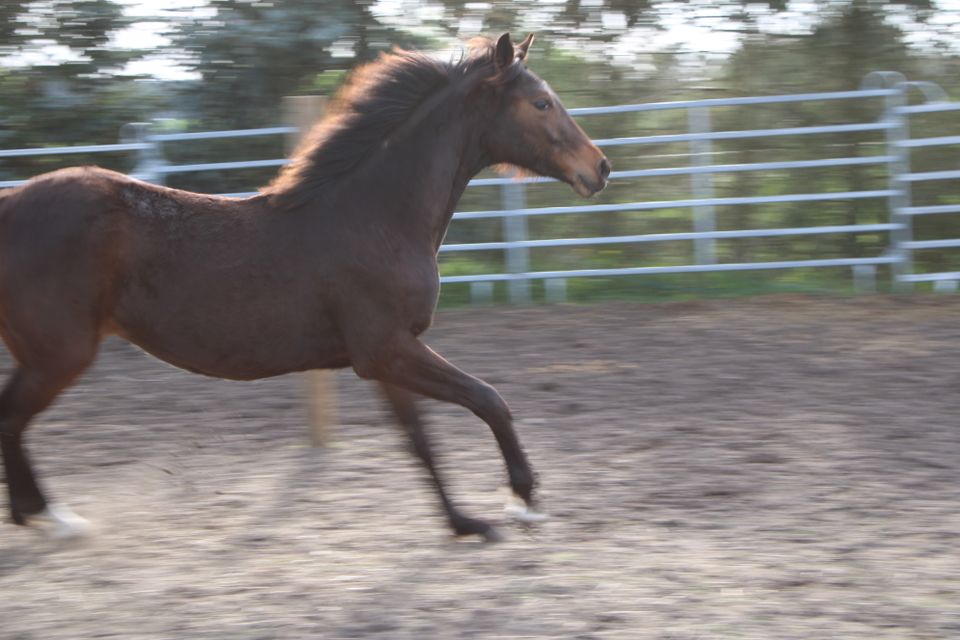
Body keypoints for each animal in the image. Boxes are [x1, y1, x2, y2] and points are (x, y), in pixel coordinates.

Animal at [0, 33, 612, 540]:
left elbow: (420, 441)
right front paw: (522, 502)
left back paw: (35, 515)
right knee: (11, 416)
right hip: (59, 355)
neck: (376, 215)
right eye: (541, 103)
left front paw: (464, 523)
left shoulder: (383, 357)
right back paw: (52, 518)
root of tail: (10, 203)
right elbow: (489, 400)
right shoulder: (387, 349)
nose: (600, 168)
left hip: (44, 357)